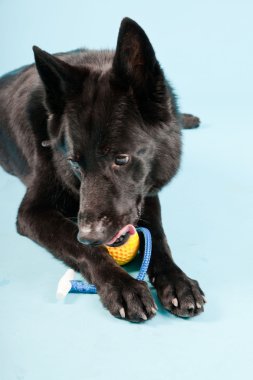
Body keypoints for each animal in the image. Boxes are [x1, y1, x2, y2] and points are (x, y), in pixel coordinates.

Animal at [0, 17, 205, 320]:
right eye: (74, 162)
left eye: (121, 159)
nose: (90, 236)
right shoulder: (33, 212)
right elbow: (73, 241)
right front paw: (122, 285)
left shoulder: (146, 191)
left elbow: (158, 237)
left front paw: (177, 281)